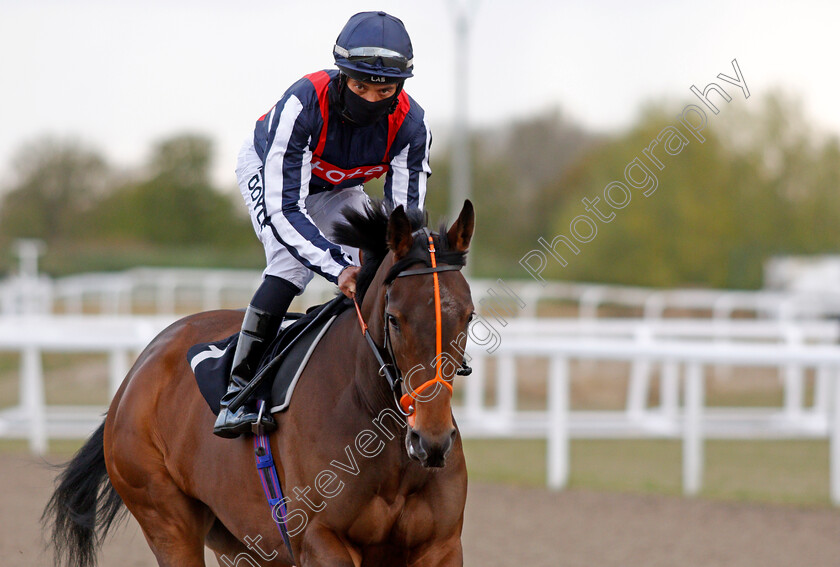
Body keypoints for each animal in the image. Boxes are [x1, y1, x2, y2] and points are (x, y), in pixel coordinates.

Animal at [44, 202, 472, 564]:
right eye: (395, 319)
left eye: (468, 316)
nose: (431, 440)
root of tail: (137, 371)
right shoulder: (320, 540)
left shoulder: (441, 546)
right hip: (165, 518)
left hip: (238, 540)